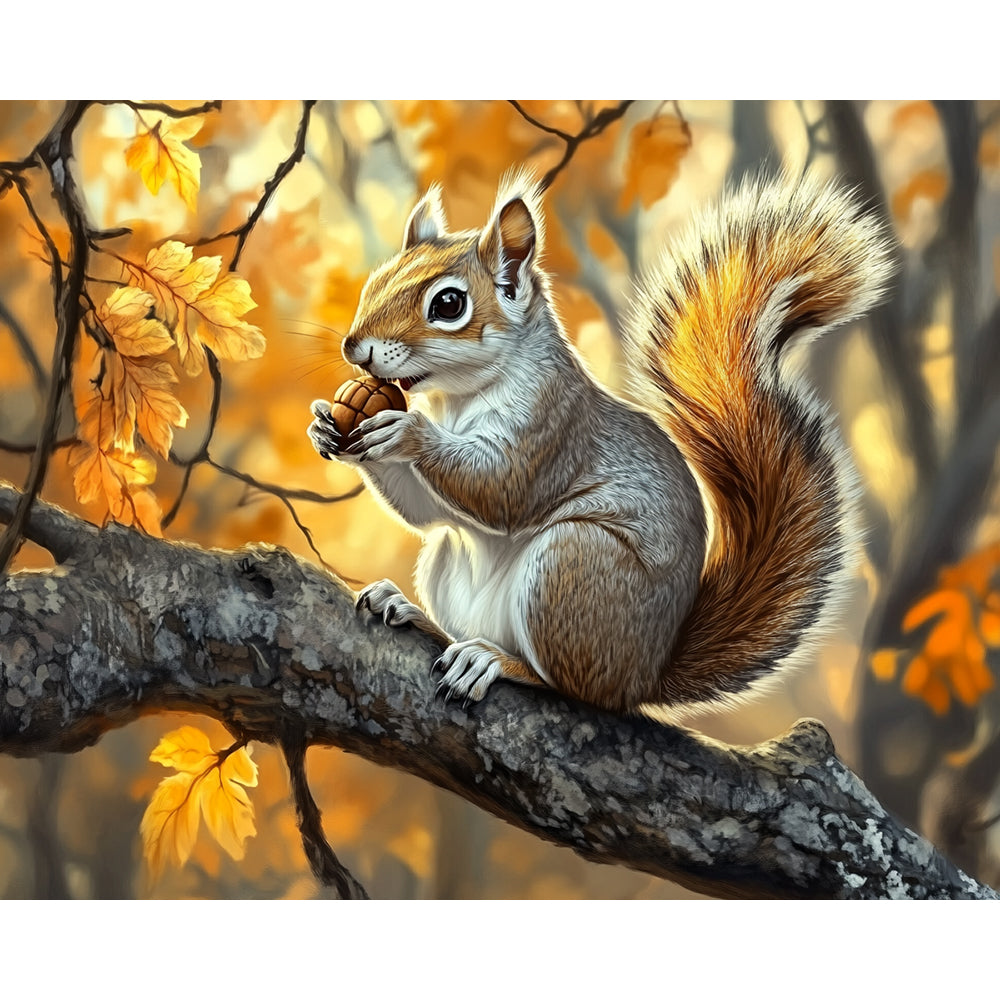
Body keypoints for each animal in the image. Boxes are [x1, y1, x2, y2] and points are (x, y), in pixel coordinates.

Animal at [307, 170, 893, 717]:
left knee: (570, 687)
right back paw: (414, 614)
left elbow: (500, 490)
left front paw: (404, 431)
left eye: (448, 304)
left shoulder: (554, 429)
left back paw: (492, 660)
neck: (459, 397)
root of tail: (644, 676)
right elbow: (427, 512)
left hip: (574, 567)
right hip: (449, 562)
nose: (354, 346)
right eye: (377, 280)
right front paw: (328, 425)